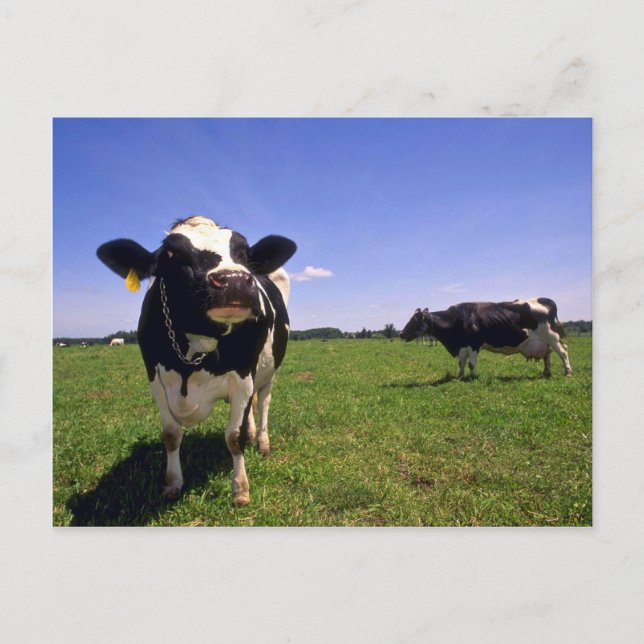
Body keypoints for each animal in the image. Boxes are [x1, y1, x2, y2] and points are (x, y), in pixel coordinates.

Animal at [97, 216, 296, 505]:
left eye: (244, 253)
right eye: (171, 253)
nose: (235, 280)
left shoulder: (243, 376)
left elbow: (234, 437)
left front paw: (240, 490)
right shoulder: (155, 378)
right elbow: (171, 435)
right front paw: (172, 484)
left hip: (269, 371)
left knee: (263, 403)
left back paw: (263, 442)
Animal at [400, 298, 573, 379]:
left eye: (415, 320)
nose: (401, 334)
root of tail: (544, 299)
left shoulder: (474, 344)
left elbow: (471, 363)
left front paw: (472, 377)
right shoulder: (463, 346)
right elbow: (461, 362)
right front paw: (460, 376)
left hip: (552, 337)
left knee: (563, 352)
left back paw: (568, 372)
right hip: (545, 341)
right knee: (548, 355)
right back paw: (546, 373)